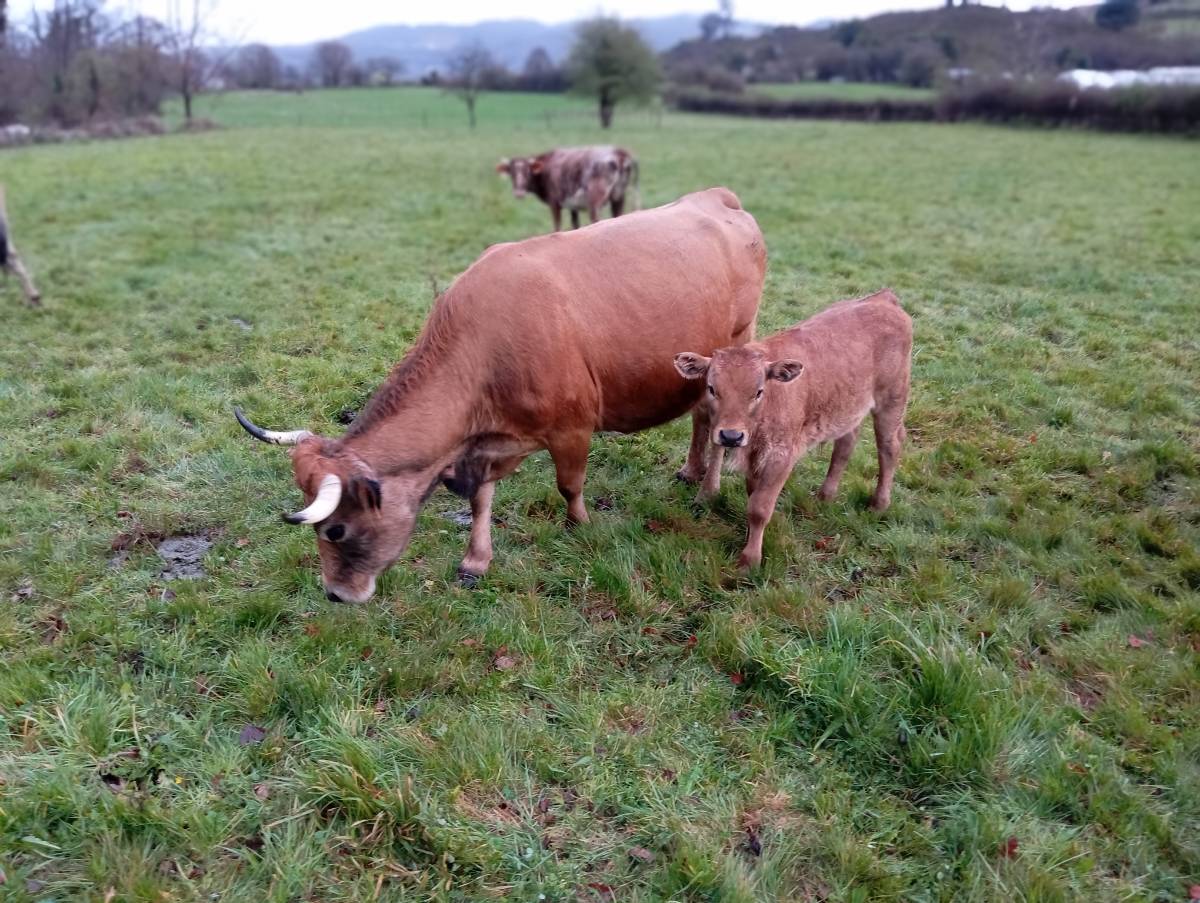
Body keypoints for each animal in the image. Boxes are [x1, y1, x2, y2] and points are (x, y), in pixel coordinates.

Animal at [236, 187, 765, 603]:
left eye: (335, 529)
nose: (334, 594)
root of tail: (715, 196)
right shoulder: (485, 443)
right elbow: (480, 500)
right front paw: (475, 561)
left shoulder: (572, 427)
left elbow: (569, 485)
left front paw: (579, 526)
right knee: (700, 416)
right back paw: (691, 470)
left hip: (735, 345)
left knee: (718, 420)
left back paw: (707, 488)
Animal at [496, 146, 639, 232]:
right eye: (512, 173)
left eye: (527, 172)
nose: (519, 193)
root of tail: (619, 151)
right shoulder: (572, 206)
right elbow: (575, 224)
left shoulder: (554, 202)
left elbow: (557, 226)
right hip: (618, 197)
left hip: (595, 201)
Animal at [674, 289, 912, 570]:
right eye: (711, 388)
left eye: (758, 391)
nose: (731, 436)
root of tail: (882, 299)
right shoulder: (756, 456)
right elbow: (753, 495)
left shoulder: (782, 456)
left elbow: (759, 508)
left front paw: (750, 560)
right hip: (847, 408)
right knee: (845, 446)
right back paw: (825, 496)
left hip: (891, 401)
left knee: (889, 447)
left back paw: (878, 504)